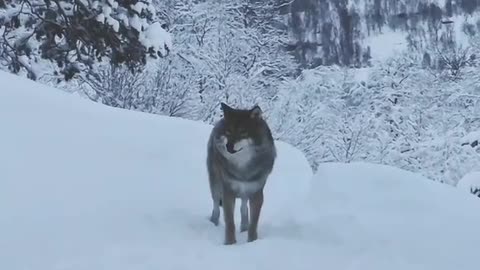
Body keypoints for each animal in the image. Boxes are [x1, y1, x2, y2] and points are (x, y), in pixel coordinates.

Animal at [204, 102, 276, 245]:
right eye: (228, 131)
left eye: (243, 132)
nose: (229, 147)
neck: (242, 168)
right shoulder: (228, 191)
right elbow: (230, 222)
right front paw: (230, 244)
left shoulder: (256, 193)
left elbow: (253, 223)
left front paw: (252, 242)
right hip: (215, 185)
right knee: (216, 207)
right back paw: (213, 223)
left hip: (245, 192)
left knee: (243, 208)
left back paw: (244, 227)